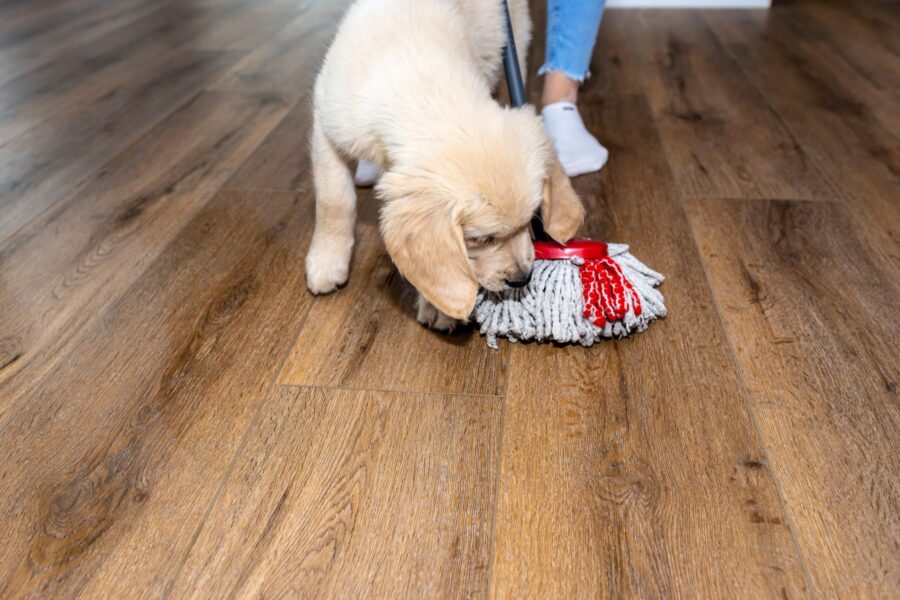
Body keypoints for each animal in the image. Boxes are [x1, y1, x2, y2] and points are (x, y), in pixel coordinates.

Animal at [306, 0, 580, 328]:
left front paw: (439, 308)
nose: (522, 280)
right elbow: (334, 201)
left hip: (511, 41)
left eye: (530, 220)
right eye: (479, 239)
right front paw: (327, 261)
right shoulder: (327, 125)